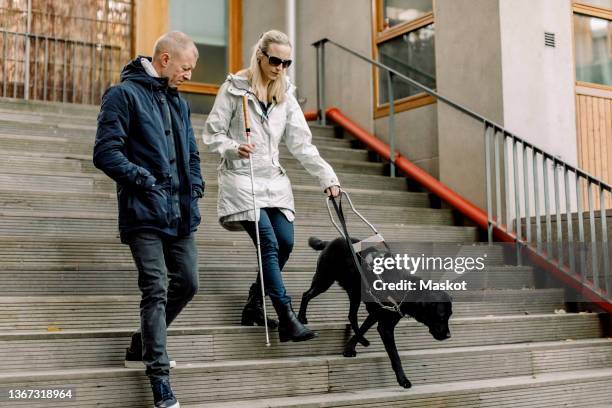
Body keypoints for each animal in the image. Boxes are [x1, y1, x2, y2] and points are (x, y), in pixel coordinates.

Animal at [298, 236, 452, 388]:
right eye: (441, 316)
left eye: (449, 316)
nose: (449, 336)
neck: (403, 288)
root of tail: (330, 242)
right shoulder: (383, 324)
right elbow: (395, 355)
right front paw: (403, 380)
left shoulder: (379, 314)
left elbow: (364, 328)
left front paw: (351, 347)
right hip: (324, 280)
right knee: (306, 295)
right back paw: (301, 318)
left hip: (355, 292)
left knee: (351, 315)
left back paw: (362, 340)